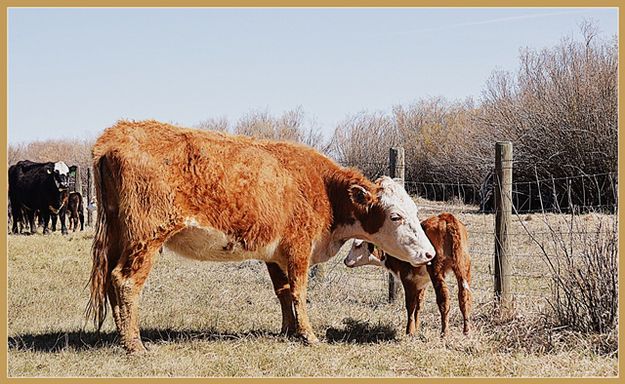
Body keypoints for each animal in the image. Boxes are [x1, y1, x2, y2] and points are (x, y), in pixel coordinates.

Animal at [86, 121, 434, 354]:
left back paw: (122, 337)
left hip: (120, 237)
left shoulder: (275, 255)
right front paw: (308, 336)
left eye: (415, 211)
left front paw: (288, 331)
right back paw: (135, 344)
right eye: (395, 216)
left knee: (111, 280)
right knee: (125, 281)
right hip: (146, 238)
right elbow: (299, 292)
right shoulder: (298, 249)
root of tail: (116, 134)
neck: (321, 187)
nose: (429, 254)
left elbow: (283, 293)